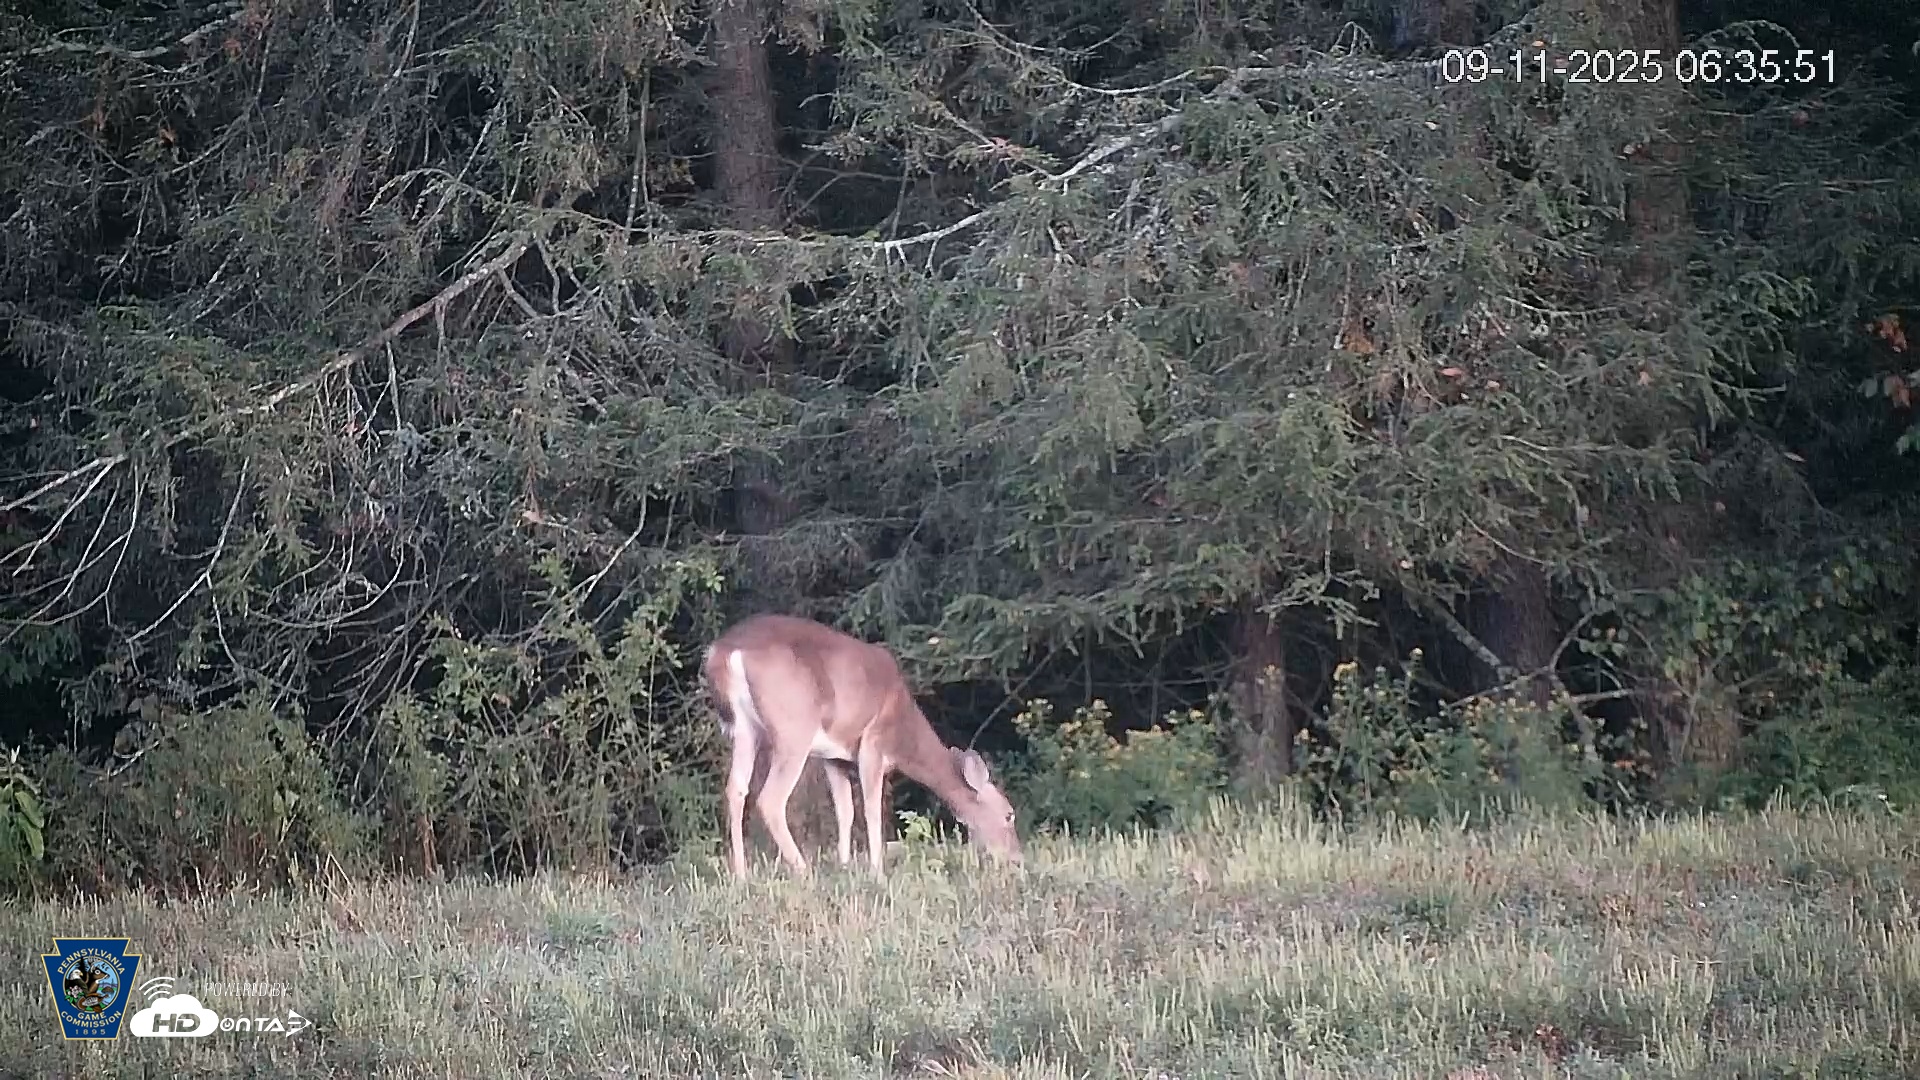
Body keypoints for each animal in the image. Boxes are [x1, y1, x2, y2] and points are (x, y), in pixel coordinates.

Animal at [702, 613, 1023, 879]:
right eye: (1009, 814)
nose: (1017, 859)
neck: (904, 734)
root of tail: (724, 652)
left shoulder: (834, 757)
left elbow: (845, 810)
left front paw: (845, 866)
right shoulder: (872, 743)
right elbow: (871, 809)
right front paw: (876, 872)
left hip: (744, 729)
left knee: (735, 789)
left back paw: (741, 875)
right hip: (793, 728)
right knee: (770, 799)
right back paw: (804, 872)